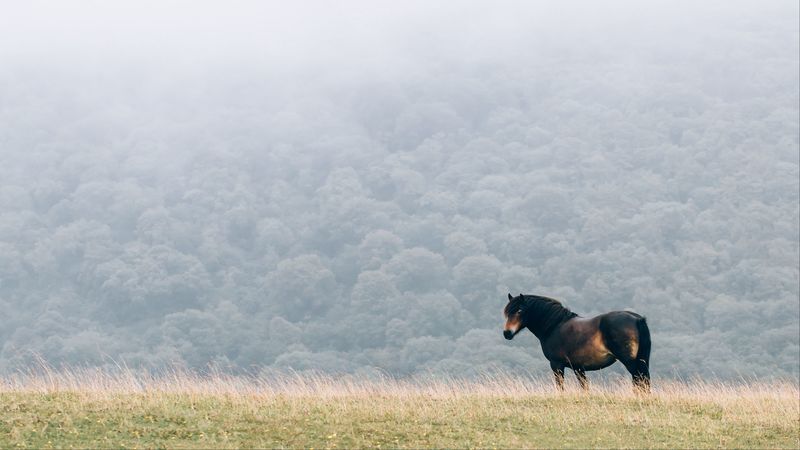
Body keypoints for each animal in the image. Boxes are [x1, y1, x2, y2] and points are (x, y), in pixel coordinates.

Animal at [503, 293, 651, 392]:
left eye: (520, 310)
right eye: (507, 312)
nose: (507, 333)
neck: (554, 326)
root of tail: (636, 319)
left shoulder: (556, 365)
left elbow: (560, 387)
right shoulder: (579, 368)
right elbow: (584, 388)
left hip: (630, 362)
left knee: (638, 379)